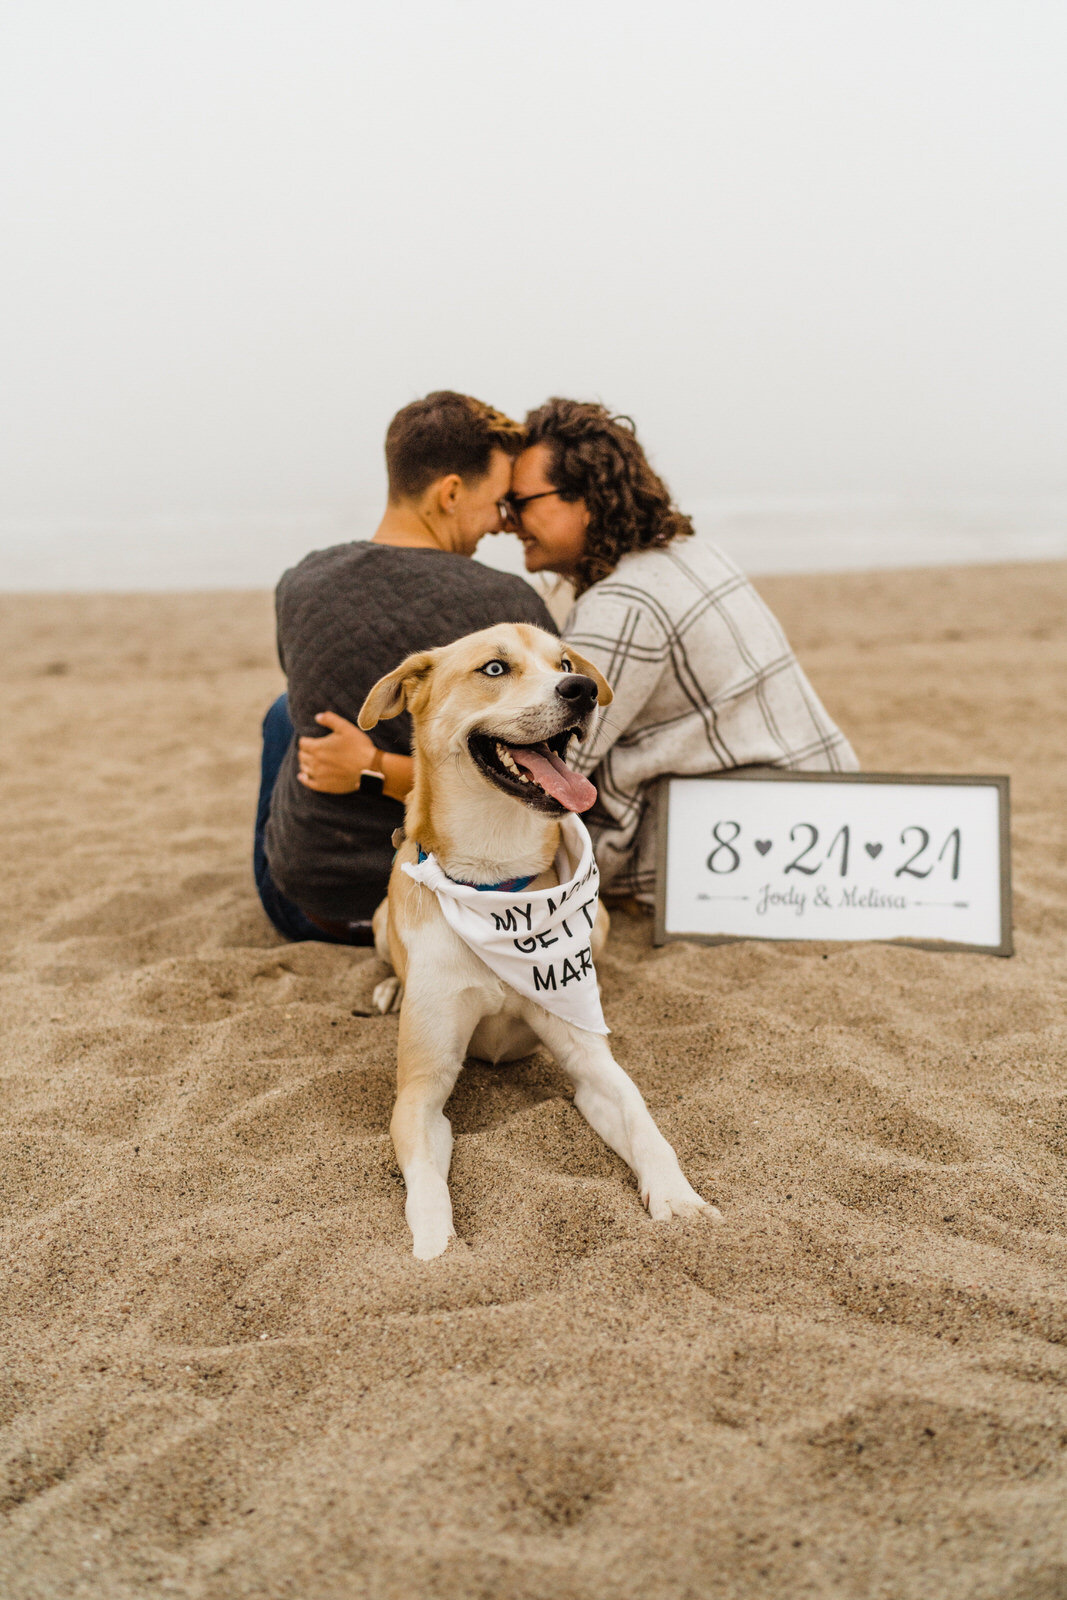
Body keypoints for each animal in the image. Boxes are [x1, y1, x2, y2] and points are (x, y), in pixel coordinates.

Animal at [358, 617, 716, 1254]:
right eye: (495, 668)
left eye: (565, 662)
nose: (583, 690)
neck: (497, 884)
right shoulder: (420, 1091)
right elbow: (425, 1180)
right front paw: (437, 1251)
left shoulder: (592, 1065)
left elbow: (642, 1118)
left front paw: (679, 1199)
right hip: (381, 918)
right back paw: (390, 989)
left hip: (601, 924)